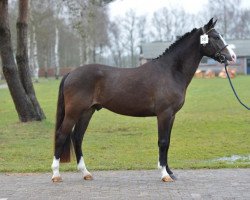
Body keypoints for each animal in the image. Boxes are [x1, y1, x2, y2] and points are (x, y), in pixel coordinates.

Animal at [51, 18, 236, 183]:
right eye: (216, 37)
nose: (232, 57)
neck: (170, 71)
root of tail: (70, 73)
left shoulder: (172, 115)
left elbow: (168, 142)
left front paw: (170, 172)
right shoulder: (164, 114)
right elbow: (162, 142)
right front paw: (164, 175)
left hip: (87, 112)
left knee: (77, 137)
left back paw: (86, 173)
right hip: (74, 112)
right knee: (61, 136)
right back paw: (56, 175)